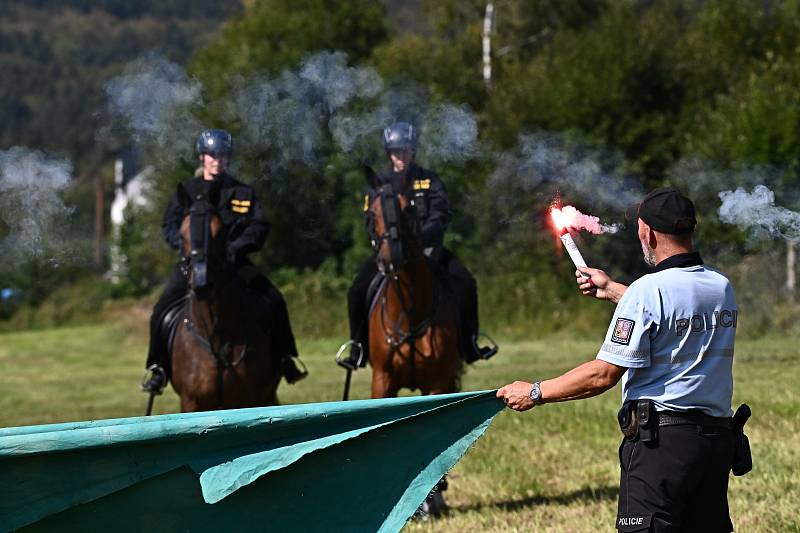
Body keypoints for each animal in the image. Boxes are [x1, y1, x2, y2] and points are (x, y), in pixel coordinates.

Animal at [366, 185, 460, 396]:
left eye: (408, 209)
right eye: (372, 213)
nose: (391, 258)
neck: (409, 316)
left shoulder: (436, 384)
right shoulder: (381, 380)